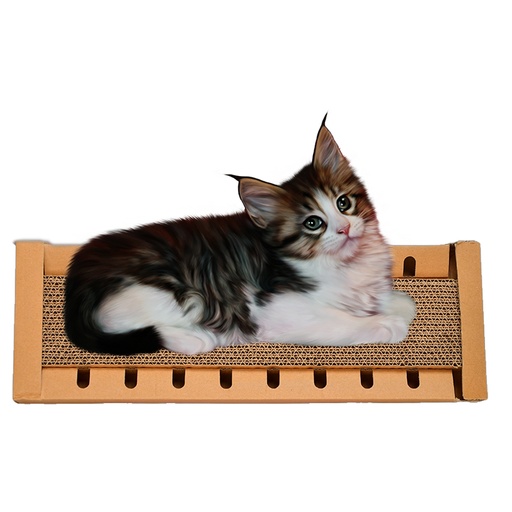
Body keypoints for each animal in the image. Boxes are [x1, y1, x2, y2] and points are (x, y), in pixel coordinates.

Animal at [64, 116, 416, 356]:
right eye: (313, 223)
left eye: (344, 203)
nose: (344, 228)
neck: (346, 264)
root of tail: (79, 269)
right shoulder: (276, 310)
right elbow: (339, 320)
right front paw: (383, 324)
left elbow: (398, 301)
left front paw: (392, 307)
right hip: (173, 295)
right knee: (119, 322)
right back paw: (193, 338)